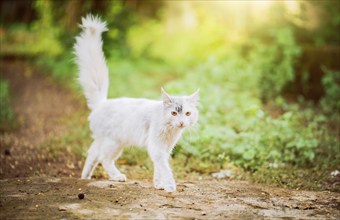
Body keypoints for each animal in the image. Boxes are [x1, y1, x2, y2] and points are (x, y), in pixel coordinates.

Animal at [73, 14, 198, 192]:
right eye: (174, 113)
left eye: (187, 113)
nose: (181, 122)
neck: (170, 130)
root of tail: (102, 103)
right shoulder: (156, 147)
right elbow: (165, 168)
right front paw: (169, 185)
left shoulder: (164, 149)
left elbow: (158, 168)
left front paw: (158, 184)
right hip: (112, 142)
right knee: (104, 158)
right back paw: (117, 176)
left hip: (109, 141)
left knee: (92, 153)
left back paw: (85, 176)